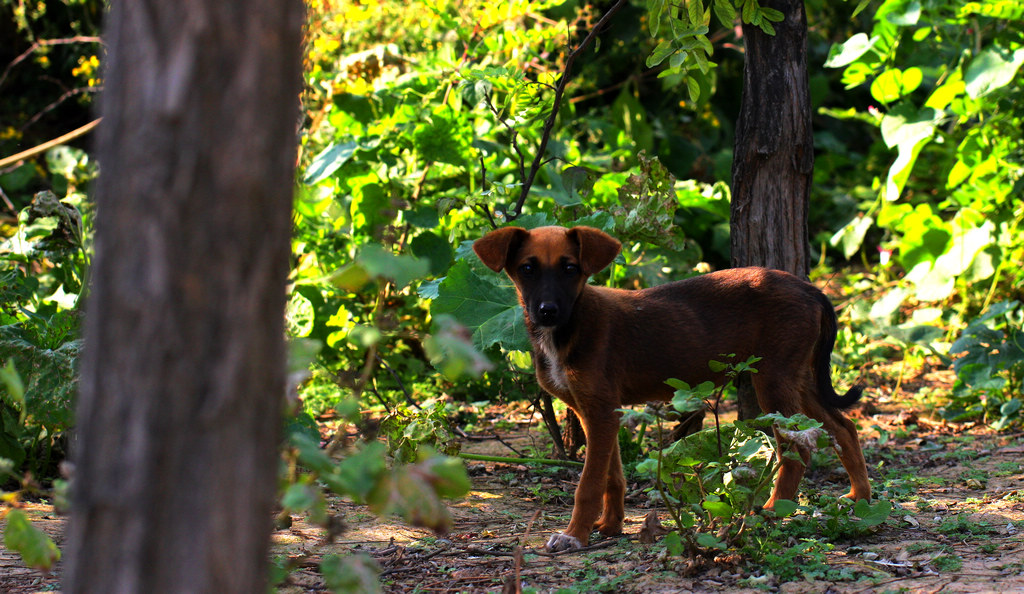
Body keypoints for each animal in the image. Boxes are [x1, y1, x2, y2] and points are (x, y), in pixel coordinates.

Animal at [473, 225, 872, 548]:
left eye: (570, 268)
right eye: (527, 269)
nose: (547, 311)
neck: (569, 327)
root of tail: (809, 287)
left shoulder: (599, 411)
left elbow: (588, 484)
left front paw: (574, 536)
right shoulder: (598, 411)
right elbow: (612, 476)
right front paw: (611, 526)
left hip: (773, 379)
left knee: (799, 447)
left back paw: (771, 511)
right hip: (798, 377)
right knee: (843, 428)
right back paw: (861, 498)